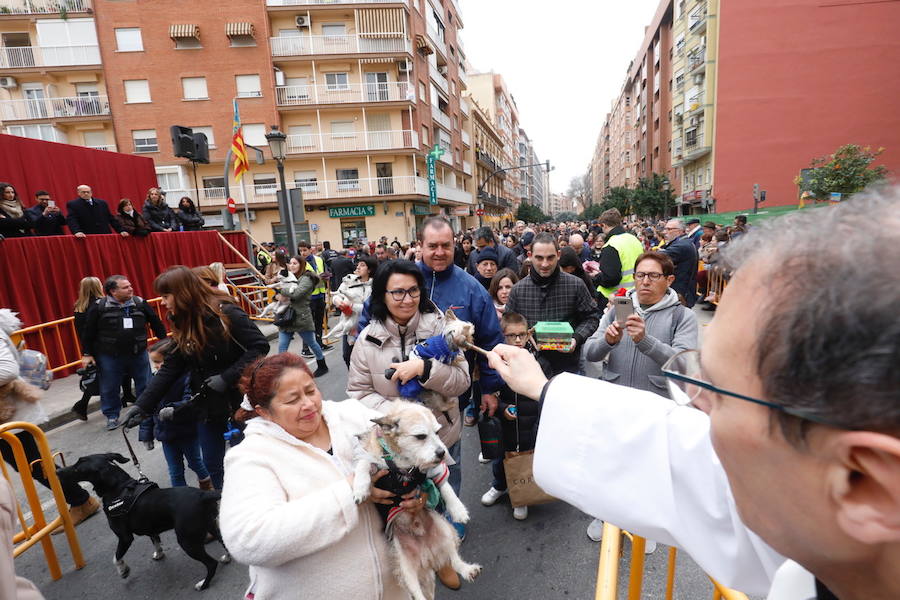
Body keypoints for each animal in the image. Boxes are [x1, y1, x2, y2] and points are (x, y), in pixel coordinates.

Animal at [56, 454, 230, 592]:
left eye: (79, 465)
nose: (57, 472)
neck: (119, 487)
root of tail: (202, 495)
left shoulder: (125, 537)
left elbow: (116, 557)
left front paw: (123, 570)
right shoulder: (150, 527)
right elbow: (155, 541)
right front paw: (159, 554)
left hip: (187, 541)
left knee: (211, 564)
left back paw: (203, 584)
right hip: (211, 526)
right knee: (224, 544)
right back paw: (226, 558)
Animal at [350, 398, 482, 600]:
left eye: (437, 432)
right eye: (420, 436)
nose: (442, 453)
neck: (405, 463)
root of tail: (427, 557)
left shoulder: (434, 469)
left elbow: (445, 485)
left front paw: (458, 509)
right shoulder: (373, 457)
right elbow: (364, 464)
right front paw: (360, 487)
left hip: (445, 530)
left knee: (453, 559)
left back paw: (468, 570)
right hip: (405, 567)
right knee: (416, 591)